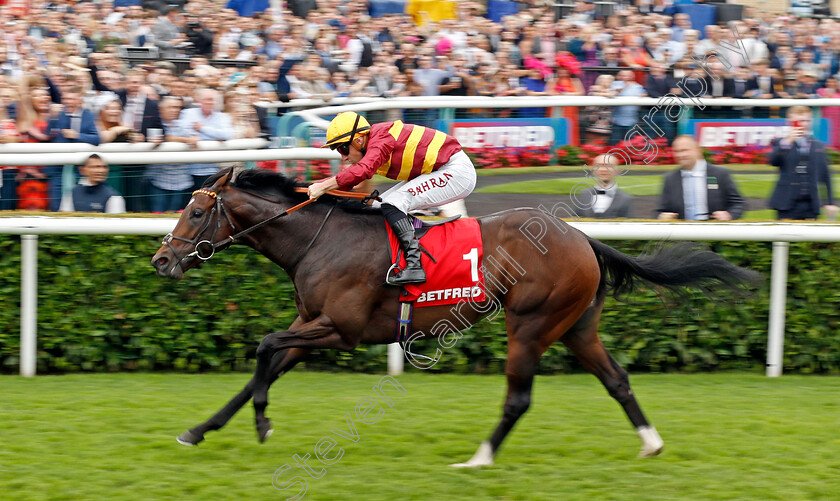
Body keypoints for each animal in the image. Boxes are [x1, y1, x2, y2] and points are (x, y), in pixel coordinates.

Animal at [151, 168, 760, 464]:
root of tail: (582, 237)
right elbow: (265, 362)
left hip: (531, 323)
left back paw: (479, 459)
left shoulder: (341, 330)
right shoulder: (310, 328)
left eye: (197, 211)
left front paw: (262, 422)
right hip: (576, 327)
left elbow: (262, 347)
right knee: (617, 379)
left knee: (519, 398)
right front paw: (199, 430)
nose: (161, 260)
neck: (319, 240)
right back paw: (651, 443)